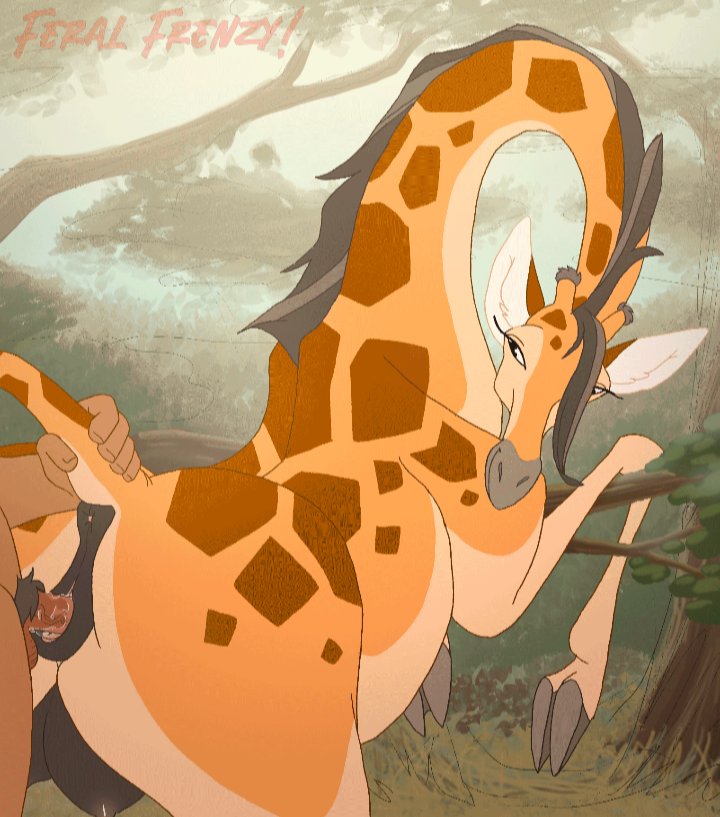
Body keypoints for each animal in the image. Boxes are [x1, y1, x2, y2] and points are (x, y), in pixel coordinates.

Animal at [1, 24, 708, 817]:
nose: (511, 476)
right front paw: (562, 706)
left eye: (603, 385)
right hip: (302, 780)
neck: (392, 378)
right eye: (518, 341)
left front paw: (449, 687)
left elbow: (633, 455)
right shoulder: (493, 584)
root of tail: (122, 498)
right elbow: (625, 465)